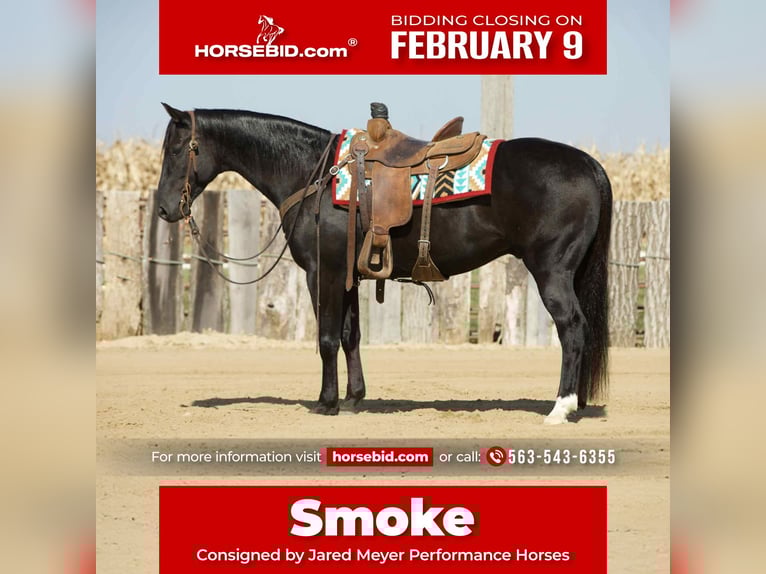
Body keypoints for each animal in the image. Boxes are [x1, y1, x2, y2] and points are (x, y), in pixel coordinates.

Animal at [156, 103, 612, 424]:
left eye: (177, 149)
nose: (164, 208)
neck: (313, 174)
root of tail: (589, 164)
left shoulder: (324, 273)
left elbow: (326, 338)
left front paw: (326, 403)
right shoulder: (350, 277)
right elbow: (350, 336)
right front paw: (354, 398)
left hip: (552, 271)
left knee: (572, 328)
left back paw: (560, 407)